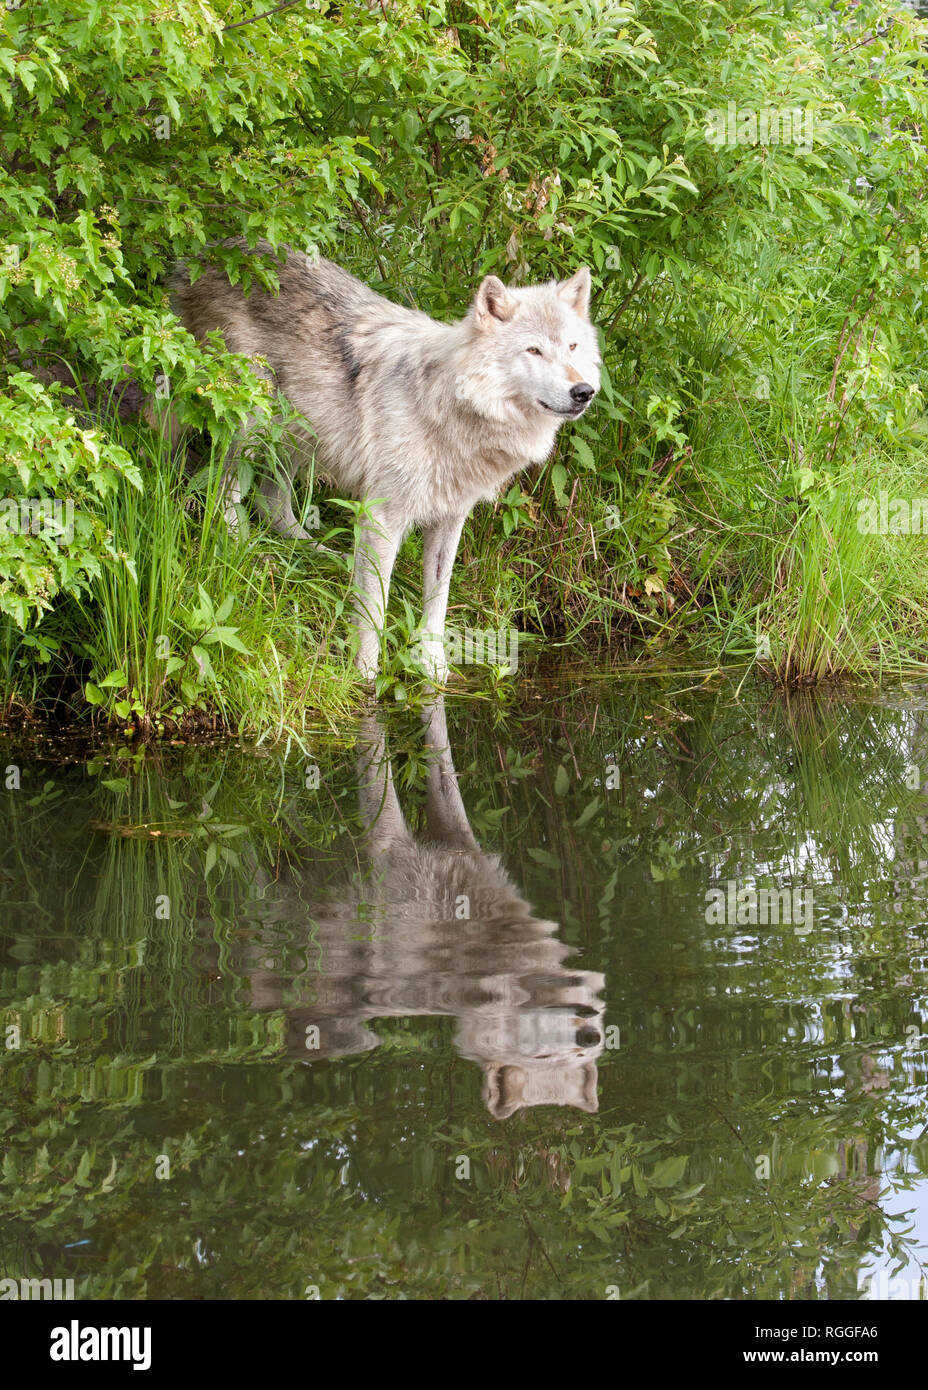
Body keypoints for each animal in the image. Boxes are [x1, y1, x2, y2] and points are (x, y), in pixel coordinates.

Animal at [169, 240, 601, 681]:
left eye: (572, 347)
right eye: (534, 350)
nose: (583, 391)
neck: (451, 408)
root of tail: (209, 250)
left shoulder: (450, 518)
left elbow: (438, 598)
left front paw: (432, 664)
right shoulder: (382, 517)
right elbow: (374, 606)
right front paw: (365, 672)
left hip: (298, 434)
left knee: (272, 503)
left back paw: (323, 554)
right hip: (253, 423)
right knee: (224, 494)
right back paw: (239, 549)